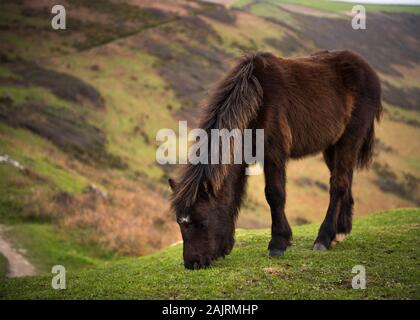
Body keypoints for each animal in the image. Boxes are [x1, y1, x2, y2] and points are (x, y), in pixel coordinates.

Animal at [167, 50, 380, 270]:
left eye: (202, 222)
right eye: (180, 222)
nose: (192, 263)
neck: (257, 101)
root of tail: (365, 69)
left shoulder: (273, 154)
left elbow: (274, 195)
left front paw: (278, 242)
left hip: (349, 140)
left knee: (338, 185)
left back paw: (324, 238)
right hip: (332, 147)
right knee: (344, 180)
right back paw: (341, 230)